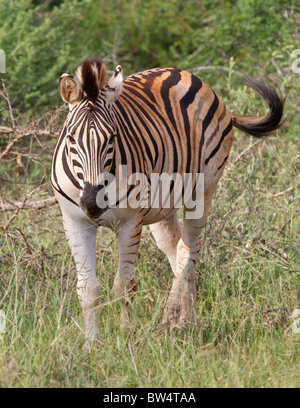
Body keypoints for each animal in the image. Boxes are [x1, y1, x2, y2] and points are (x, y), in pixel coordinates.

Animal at [51, 59, 284, 342]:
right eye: (71, 138)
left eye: (113, 138)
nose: (93, 203)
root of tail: (185, 74)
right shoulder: (75, 221)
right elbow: (88, 289)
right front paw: (91, 344)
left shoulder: (130, 222)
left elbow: (124, 285)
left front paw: (126, 337)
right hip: (163, 207)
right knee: (176, 251)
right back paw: (187, 321)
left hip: (202, 191)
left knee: (187, 249)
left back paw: (170, 318)